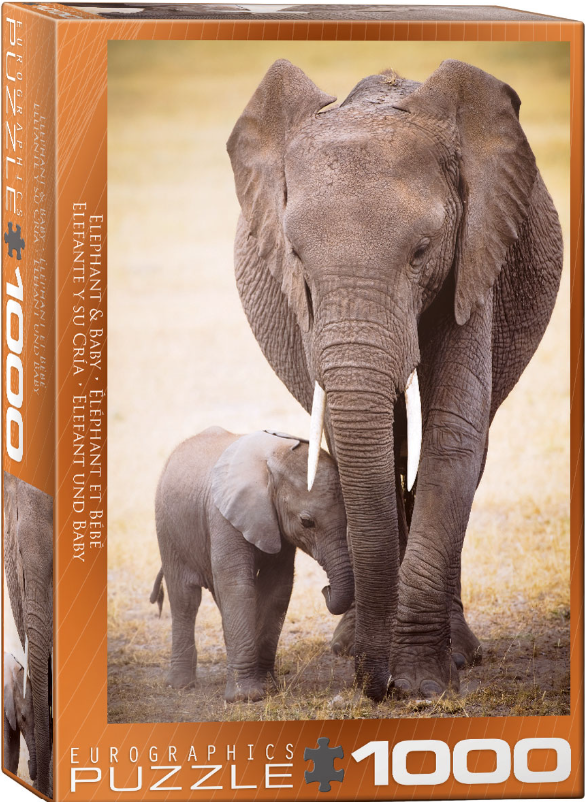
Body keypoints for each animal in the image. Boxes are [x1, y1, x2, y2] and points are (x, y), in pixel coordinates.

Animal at [150, 426, 353, 702]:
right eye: (306, 522)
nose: (326, 589)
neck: (273, 460)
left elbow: (277, 589)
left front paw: (268, 687)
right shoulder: (223, 516)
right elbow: (237, 586)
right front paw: (245, 698)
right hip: (167, 529)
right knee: (185, 598)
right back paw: (180, 685)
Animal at [227, 59, 563, 700]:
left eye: (422, 251)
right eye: (297, 257)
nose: (373, 685)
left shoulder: (475, 254)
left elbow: (453, 433)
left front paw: (423, 683)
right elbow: (358, 437)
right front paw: (384, 666)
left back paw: (459, 653)